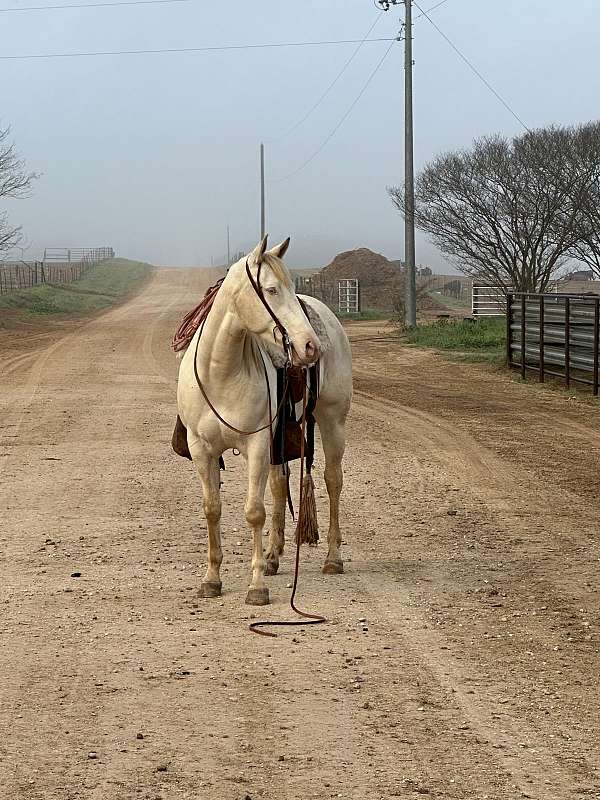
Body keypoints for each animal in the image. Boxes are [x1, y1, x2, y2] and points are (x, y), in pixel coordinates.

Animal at [175, 235, 352, 606]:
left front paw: (256, 587)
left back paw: (333, 558)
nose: (310, 346)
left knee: (332, 481)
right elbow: (212, 508)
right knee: (279, 484)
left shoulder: (256, 444)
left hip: (332, 422)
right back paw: (273, 556)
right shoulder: (202, 449)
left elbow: (254, 511)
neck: (220, 372)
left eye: (291, 287)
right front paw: (212, 579)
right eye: (270, 290)